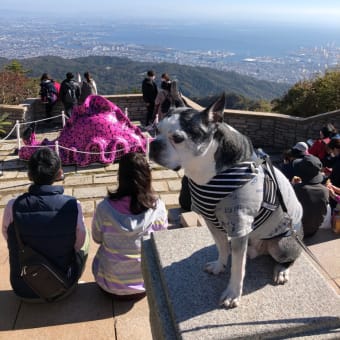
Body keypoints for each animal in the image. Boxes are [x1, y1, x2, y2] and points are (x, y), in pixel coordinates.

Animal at [149, 93, 302, 308]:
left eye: (178, 138)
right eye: (156, 130)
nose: (153, 144)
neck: (205, 172)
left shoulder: (239, 226)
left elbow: (238, 268)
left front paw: (232, 293)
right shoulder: (211, 221)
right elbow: (221, 246)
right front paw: (219, 265)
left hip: (281, 244)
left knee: (290, 258)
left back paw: (281, 271)